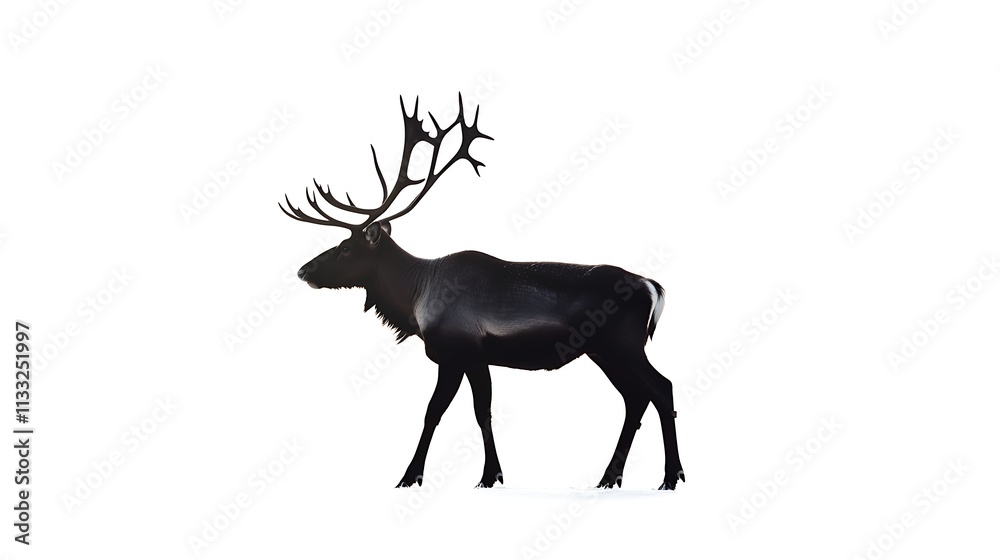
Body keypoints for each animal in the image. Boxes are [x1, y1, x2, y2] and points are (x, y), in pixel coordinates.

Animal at [280, 95, 684, 490]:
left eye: (346, 247)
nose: (303, 271)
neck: (415, 300)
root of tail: (653, 288)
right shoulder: (475, 359)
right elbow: (479, 411)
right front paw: (489, 474)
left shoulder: (458, 352)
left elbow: (440, 412)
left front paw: (417, 477)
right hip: (603, 351)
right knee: (636, 398)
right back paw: (609, 478)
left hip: (622, 345)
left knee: (660, 388)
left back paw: (671, 477)